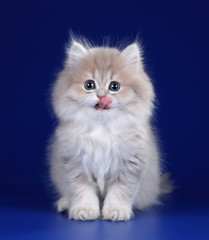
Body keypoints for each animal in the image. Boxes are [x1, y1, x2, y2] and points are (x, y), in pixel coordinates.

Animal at [49, 35, 171, 221]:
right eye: (89, 85)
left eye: (114, 86)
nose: (101, 96)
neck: (102, 129)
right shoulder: (75, 163)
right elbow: (82, 192)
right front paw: (84, 210)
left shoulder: (130, 165)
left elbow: (120, 192)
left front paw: (116, 211)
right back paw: (65, 203)